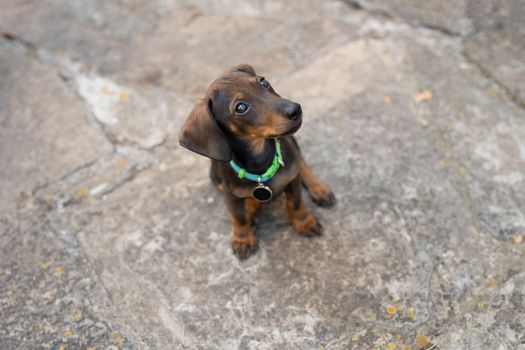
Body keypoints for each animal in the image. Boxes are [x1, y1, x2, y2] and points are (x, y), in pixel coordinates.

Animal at [180, 64, 334, 258]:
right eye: (240, 108)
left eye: (263, 82)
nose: (295, 109)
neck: (259, 159)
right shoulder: (230, 195)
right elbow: (238, 218)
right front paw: (243, 238)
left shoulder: (292, 179)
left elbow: (296, 203)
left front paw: (304, 222)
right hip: (215, 179)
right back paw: (251, 209)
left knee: (301, 162)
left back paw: (319, 189)